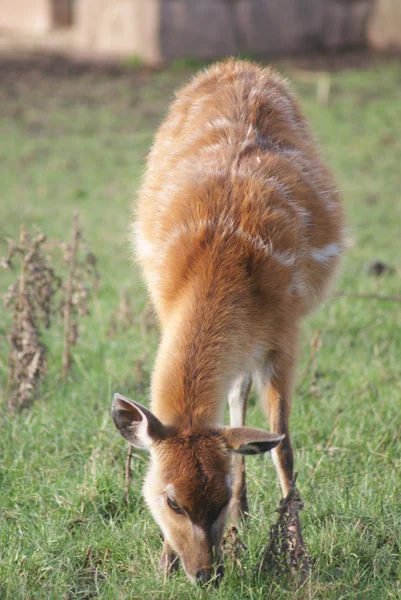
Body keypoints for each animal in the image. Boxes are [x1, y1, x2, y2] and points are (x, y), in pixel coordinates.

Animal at [111, 59, 344, 584]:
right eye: (171, 500)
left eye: (214, 498)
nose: (205, 573)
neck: (221, 257)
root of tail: (240, 65)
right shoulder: (164, 305)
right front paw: (165, 560)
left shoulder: (285, 333)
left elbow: (284, 446)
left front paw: (298, 559)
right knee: (236, 394)